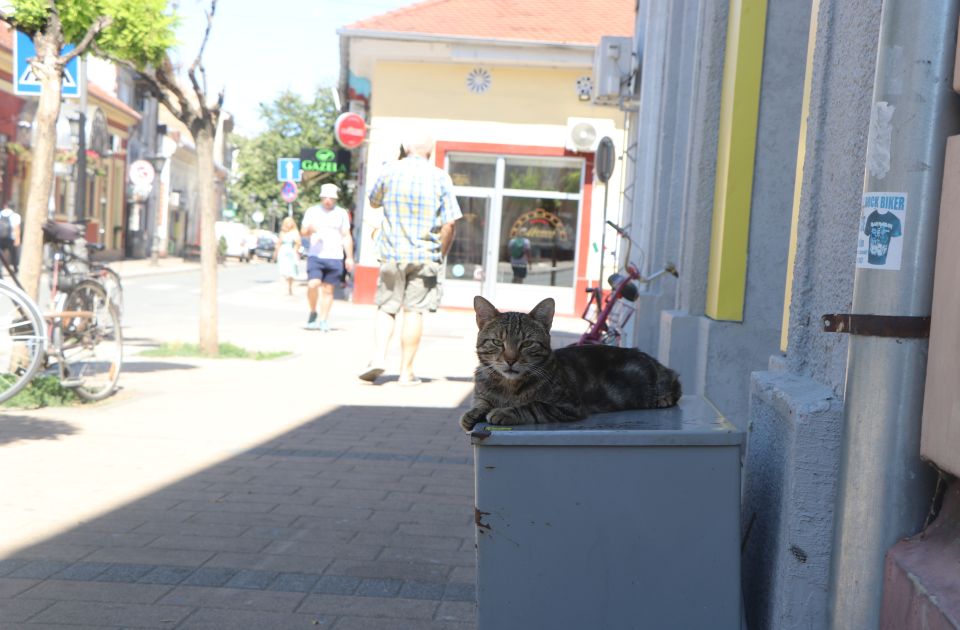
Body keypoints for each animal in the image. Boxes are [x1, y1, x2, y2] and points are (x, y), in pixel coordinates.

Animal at [460, 298, 680, 432]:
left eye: (527, 343)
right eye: (497, 342)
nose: (510, 359)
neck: (508, 386)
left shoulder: (568, 405)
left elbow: (532, 406)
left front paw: (504, 411)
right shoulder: (482, 393)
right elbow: (481, 402)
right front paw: (473, 413)